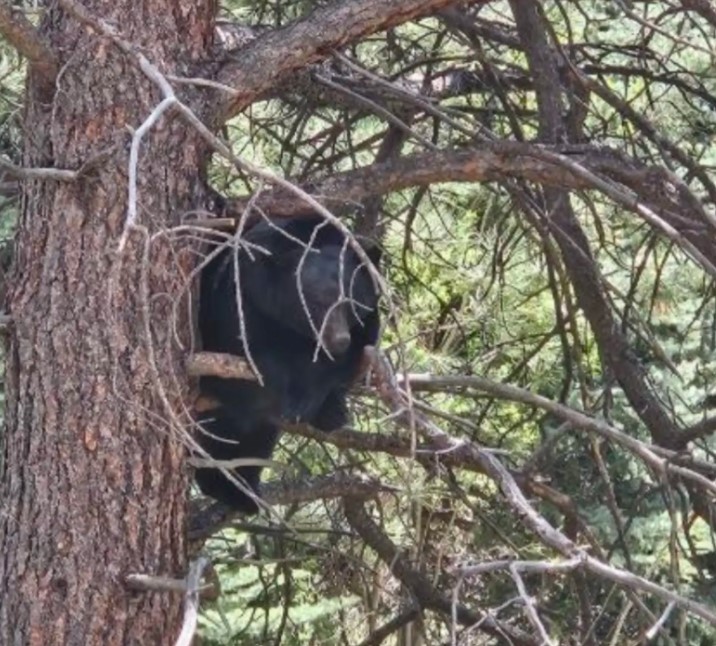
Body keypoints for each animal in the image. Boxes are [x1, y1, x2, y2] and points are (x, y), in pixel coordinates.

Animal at [195, 215, 381, 513]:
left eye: (350, 300)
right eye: (316, 302)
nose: (339, 340)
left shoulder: (365, 324)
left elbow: (346, 362)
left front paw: (321, 405)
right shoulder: (242, 296)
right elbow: (249, 354)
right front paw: (287, 395)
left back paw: (240, 490)